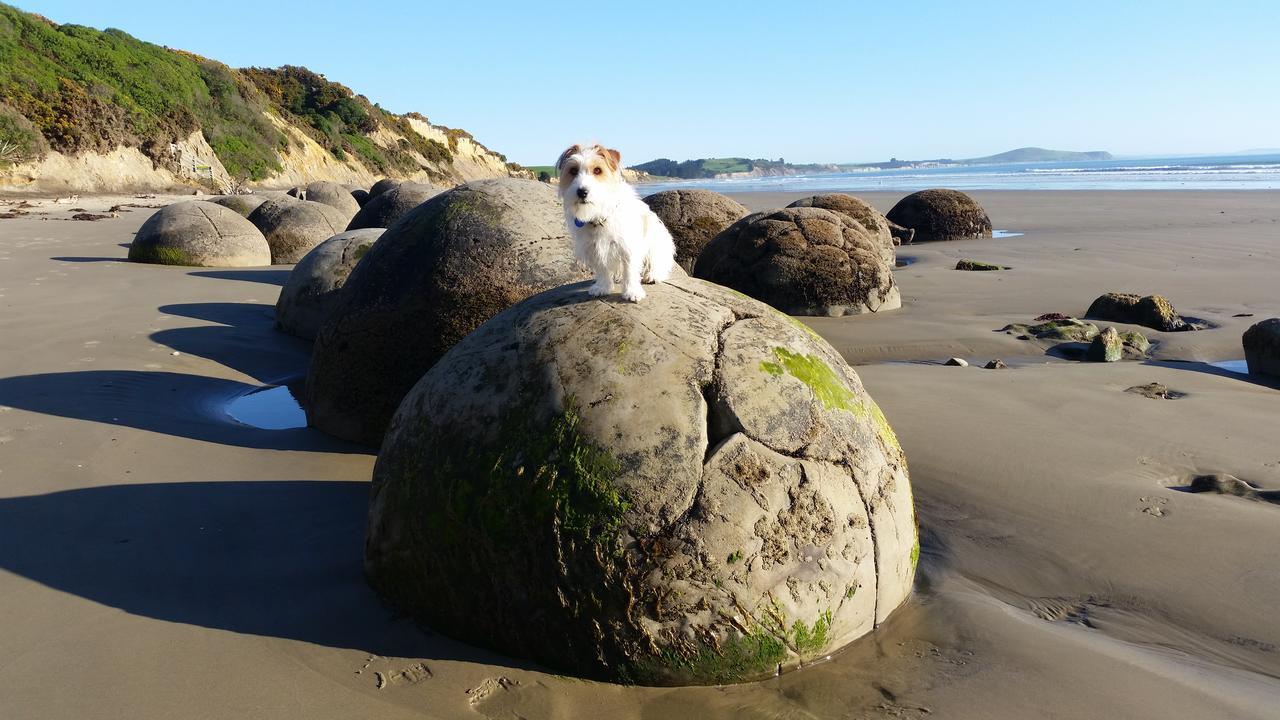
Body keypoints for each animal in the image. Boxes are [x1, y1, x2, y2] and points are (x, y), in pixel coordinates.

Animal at [560, 142, 680, 299]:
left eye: (597, 170)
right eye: (573, 171)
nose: (582, 192)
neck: (600, 215)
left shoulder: (629, 247)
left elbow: (630, 271)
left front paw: (632, 292)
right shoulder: (595, 248)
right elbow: (602, 270)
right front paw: (602, 287)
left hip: (656, 246)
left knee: (656, 263)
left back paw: (652, 275)